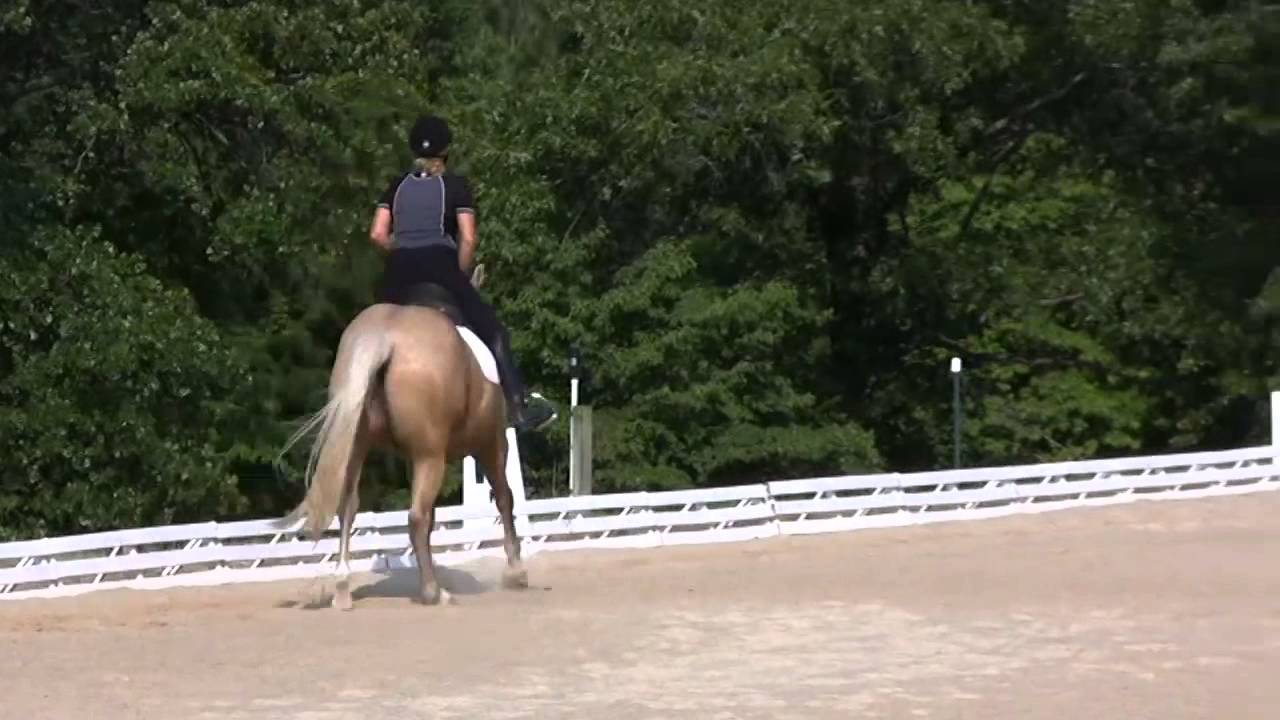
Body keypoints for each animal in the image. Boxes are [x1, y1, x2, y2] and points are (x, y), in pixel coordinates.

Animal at [275, 264, 527, 610]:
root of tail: (386, 335)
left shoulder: (413, 457)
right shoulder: (492, 444)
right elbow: (504, 498)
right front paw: (516, 571)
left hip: (360, 444)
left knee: (348, 506)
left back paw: (342, 590)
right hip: (433, 456)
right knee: (417, 517)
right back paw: (434, 592)